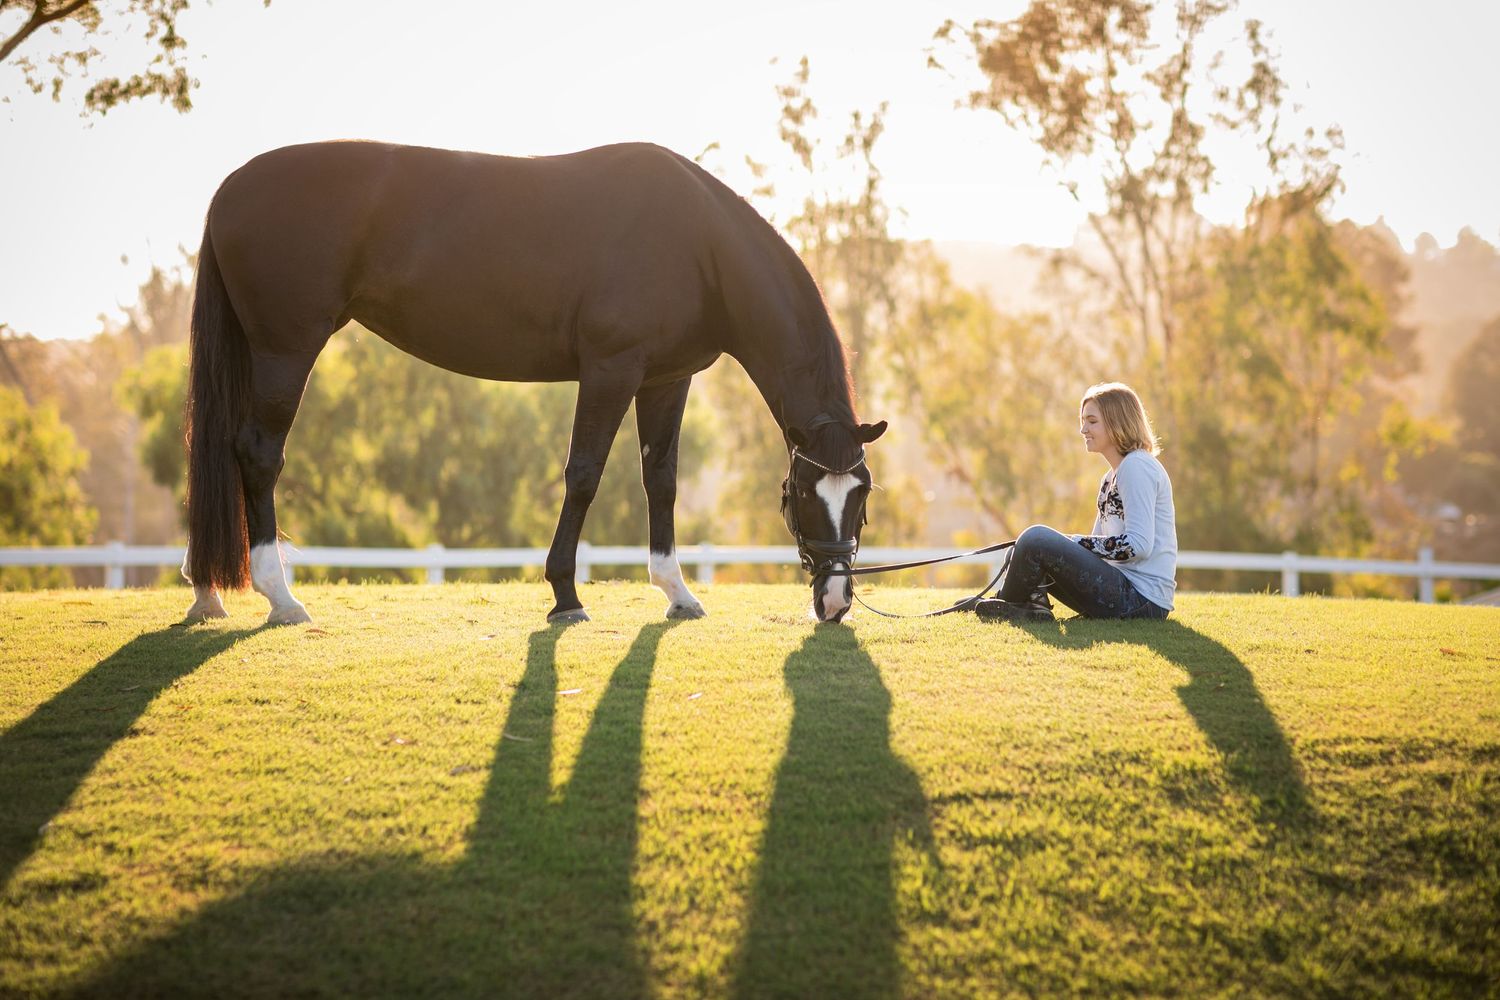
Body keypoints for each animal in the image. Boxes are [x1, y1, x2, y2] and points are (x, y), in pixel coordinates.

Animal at [181, 140, 886, 626]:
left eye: (861, 496)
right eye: (802, 492)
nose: (834, 600)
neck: (698, 245)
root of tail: (228, 190)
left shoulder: (667, 379)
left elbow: (660, 478)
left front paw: (677, 592)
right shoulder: (610, 369)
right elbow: (584, 475)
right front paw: (565, 595)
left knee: (219, 452)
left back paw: (207, 590)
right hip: (285, 350)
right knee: (258, 453)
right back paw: (281, 596)